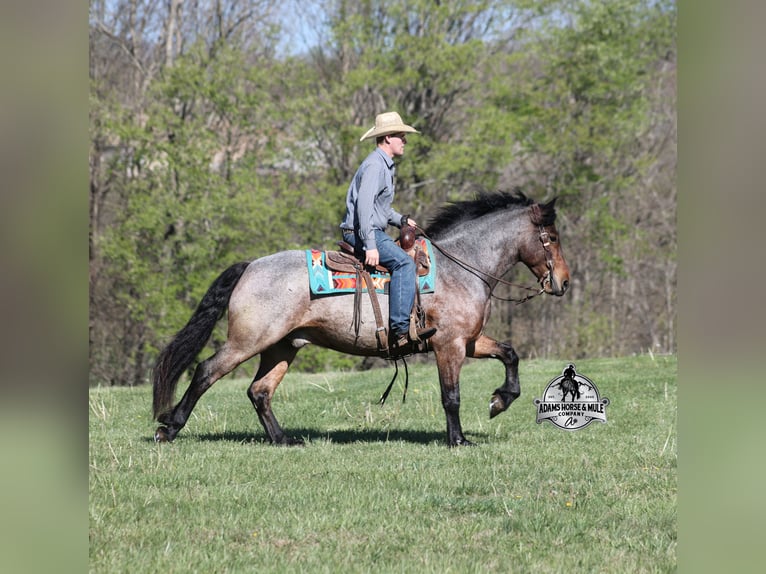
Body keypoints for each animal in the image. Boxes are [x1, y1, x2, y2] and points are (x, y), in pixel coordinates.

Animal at [152, 191, 570, 447]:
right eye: (550, 237)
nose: (564, 282)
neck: (459, 268)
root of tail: (251, 266)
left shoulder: (469, 342)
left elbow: (510, 353)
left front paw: (500, 400)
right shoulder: (448, 345)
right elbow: (451, 395)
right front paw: (458, 439)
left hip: (282, 346)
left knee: (260, 391)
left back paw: (283, 439)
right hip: (248, 341)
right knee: (206, 372)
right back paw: (168, 427)